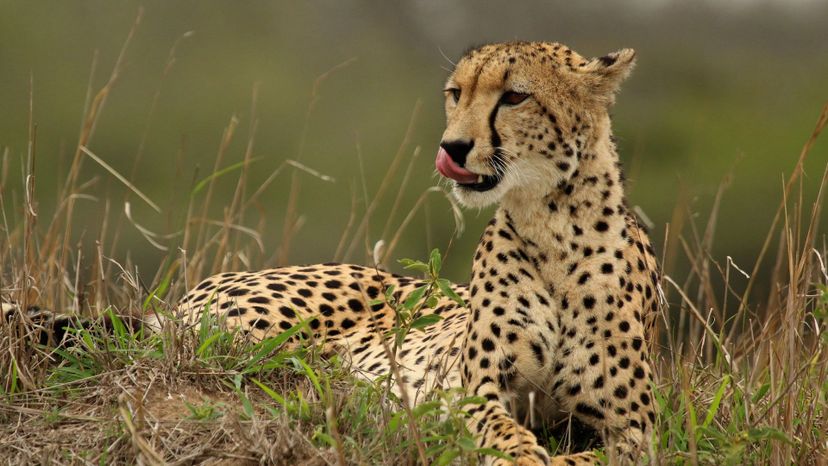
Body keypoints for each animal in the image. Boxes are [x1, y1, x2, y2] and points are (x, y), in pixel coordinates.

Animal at [3, 41, 662, 465]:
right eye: (456, 93)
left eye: (515, 97)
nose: (452, 146)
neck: (551, 223)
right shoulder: (477, 391)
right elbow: (503, 432)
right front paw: (523, 455)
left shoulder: (634, 429)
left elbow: (602, 456)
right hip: (256, 334)